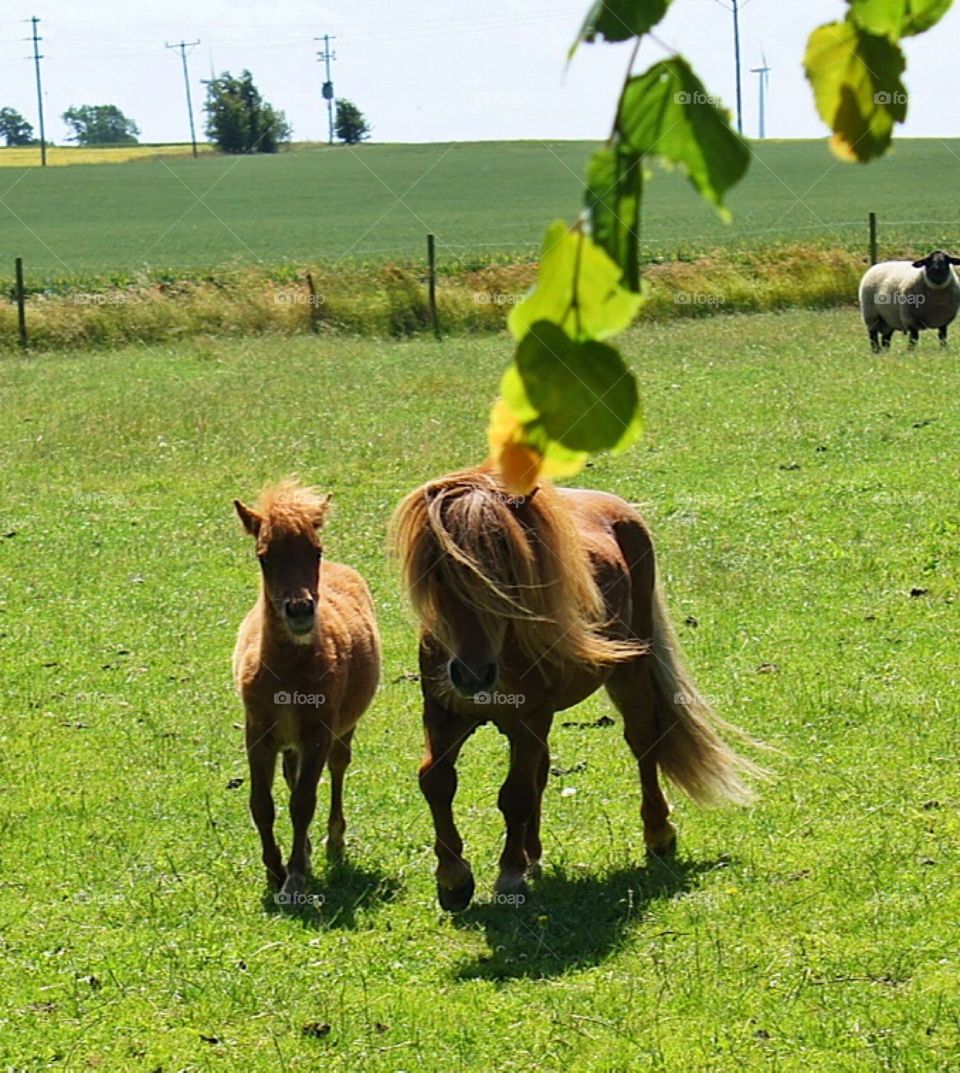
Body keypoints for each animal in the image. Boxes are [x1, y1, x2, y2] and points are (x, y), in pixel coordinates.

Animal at [232, 482, 379, 901]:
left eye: (316, 552)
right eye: (263, 558)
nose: (300, 611)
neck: (286, 673)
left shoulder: (317, 733)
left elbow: (303, 802)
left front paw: (295, 878)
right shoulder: (258, 733)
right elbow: (261, 804)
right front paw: (274, 871)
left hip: (342, 728)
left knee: (338, 767)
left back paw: (333, 841)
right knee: (290, 772)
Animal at [392, 465, 763, 909]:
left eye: (507, 569)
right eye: (438, 570)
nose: (473, 674)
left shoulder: (528, 719)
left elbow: (515, 794)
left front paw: (509, 875)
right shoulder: (444, 714)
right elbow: (436, 780)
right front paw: (453, 878)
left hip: (629, 675)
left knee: (643, 743)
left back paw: (657, 834)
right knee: (542, 770)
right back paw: (533, 854)